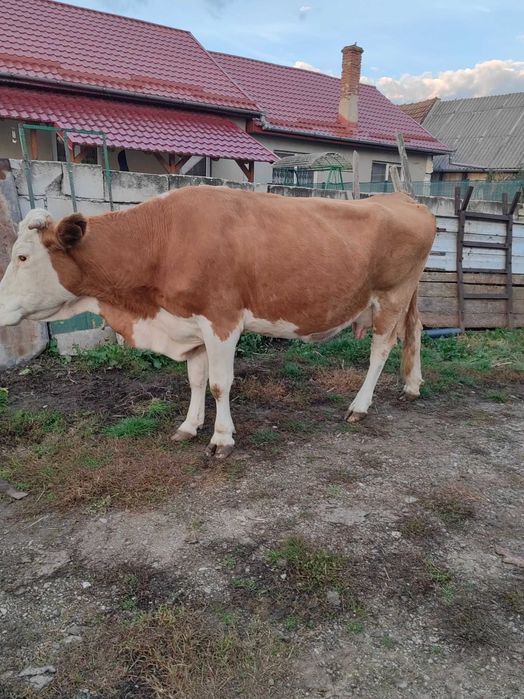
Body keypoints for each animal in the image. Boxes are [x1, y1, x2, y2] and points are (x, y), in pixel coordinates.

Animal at [0, 186, 435, 459]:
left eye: (22, 257)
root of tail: (404, 198)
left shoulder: (222, 320)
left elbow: (218, 383)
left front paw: (221, 438)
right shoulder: (189, 323)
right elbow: (195, 380)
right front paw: (189, 426)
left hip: (392, 295)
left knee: (380, 349)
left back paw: (360, 406)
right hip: (406, 295)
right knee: (414, 332)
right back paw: (411, 386)